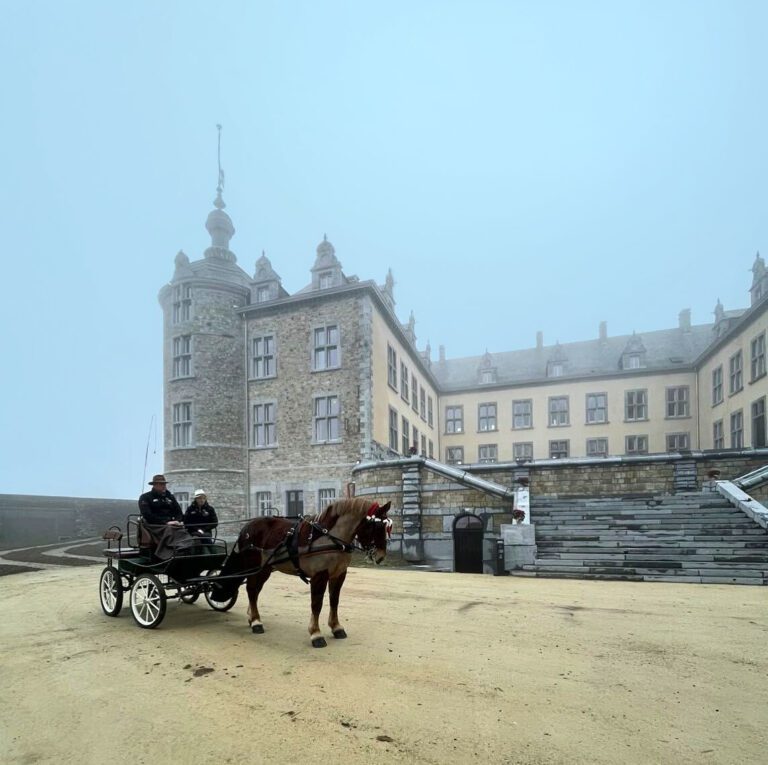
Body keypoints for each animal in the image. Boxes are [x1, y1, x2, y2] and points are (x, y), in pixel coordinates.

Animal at [219, 496, 392, 644]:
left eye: (386, 526)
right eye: (375, 526)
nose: (381, 556)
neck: (329, 537)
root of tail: (246, 527)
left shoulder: (339, 575)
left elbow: (334, 601)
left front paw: (336, 627)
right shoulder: (319, 576)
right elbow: (316, 604)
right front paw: (316, 634)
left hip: (265, 569)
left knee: (255, 591)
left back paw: (252, 618)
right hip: (254, 566)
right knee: (251, 590)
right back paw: (256, 622)